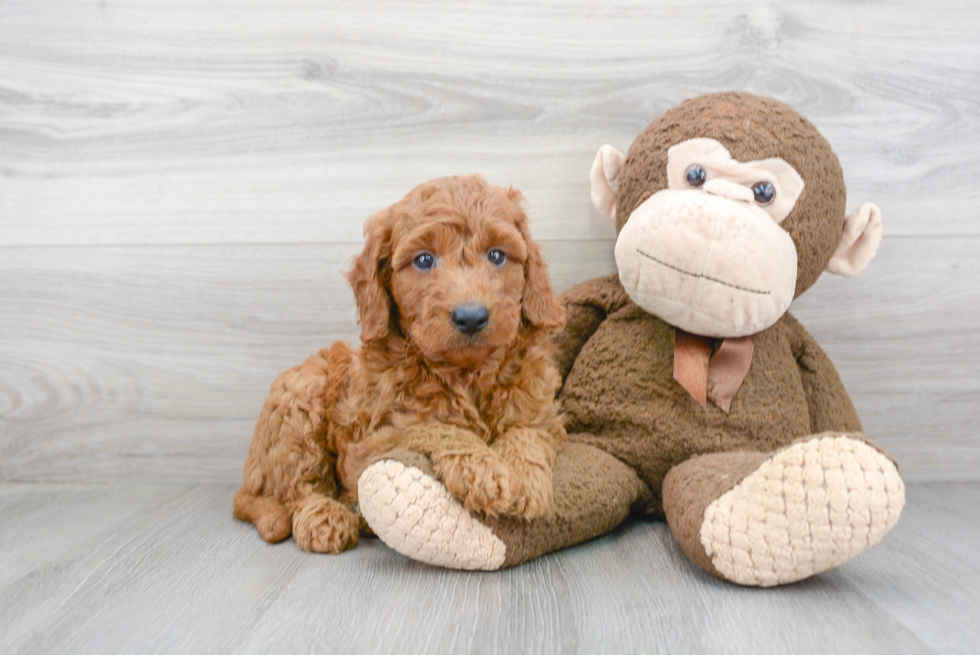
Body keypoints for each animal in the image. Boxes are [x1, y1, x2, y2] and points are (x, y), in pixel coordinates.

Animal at [232, 176, 568, 552]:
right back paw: (326, 518)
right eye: (423, 260)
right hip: (301, 398)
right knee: (300, 488)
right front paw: (483, 470)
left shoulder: (543, 412)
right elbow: (433, 426)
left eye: (497, 255)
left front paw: (524, 479)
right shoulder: (373, 441)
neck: (466, 373)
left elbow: (526, 431)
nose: (470, 316)